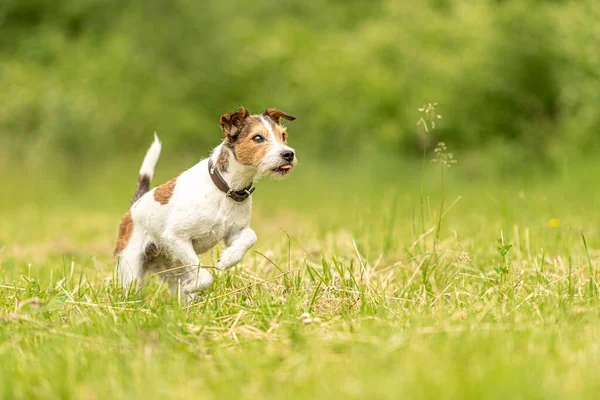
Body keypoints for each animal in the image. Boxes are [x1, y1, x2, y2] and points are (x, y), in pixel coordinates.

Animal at [113, 107, 296, 300]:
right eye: (258, 138)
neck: (225, 188)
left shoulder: (233, 233)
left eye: (283, 135)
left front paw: (228, 258)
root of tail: (134, 205)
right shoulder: (176, 238)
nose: (288, 154)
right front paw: (190, 286)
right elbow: (206, 276)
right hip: (131, 271)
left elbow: (250, 236)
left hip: (172, 266)